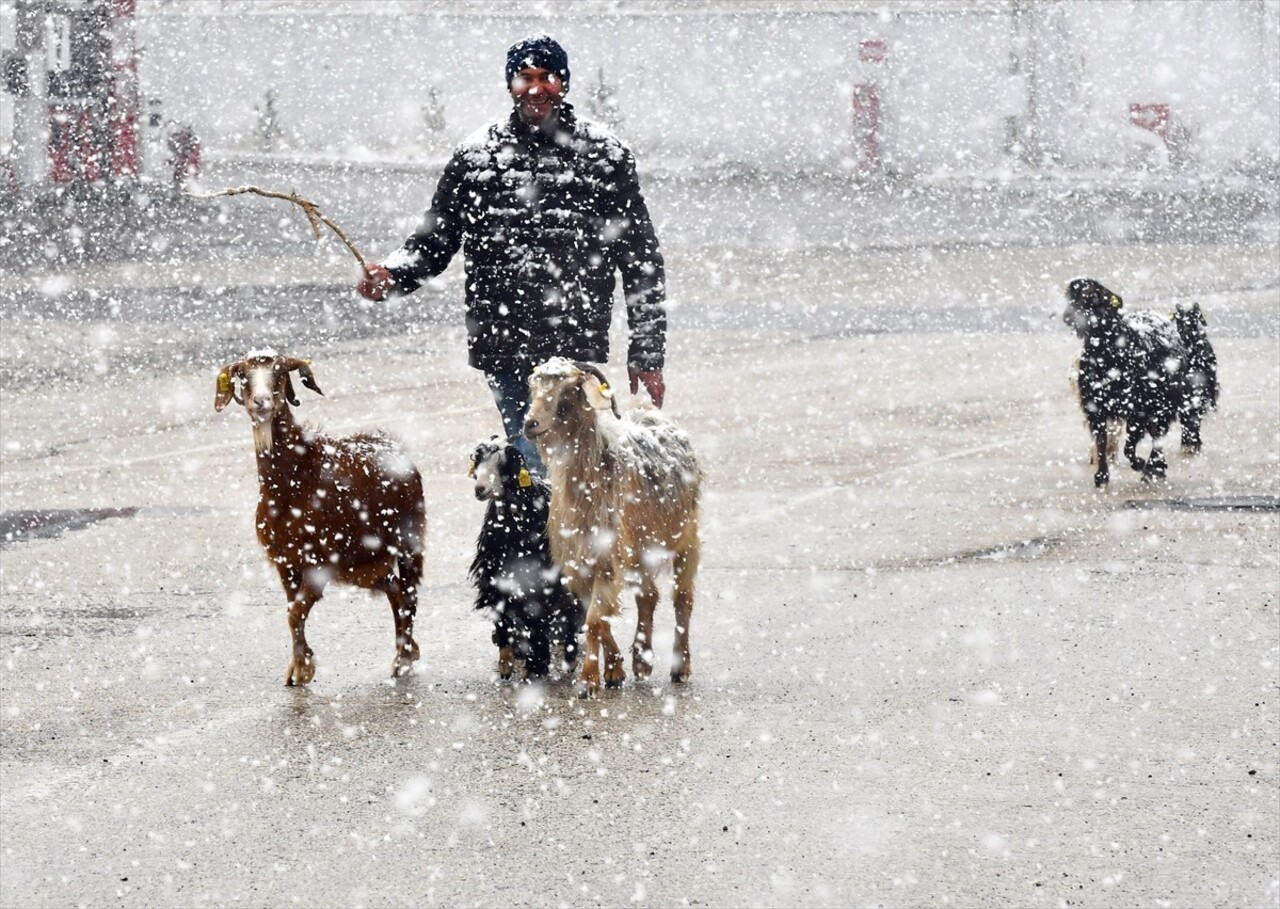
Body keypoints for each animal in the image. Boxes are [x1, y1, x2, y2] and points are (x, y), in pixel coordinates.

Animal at [212, 353, 427, 686]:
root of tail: (395, 448)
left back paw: (403, 659)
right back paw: (406, 651)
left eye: (279, 373)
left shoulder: (319, 561)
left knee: (409, 593)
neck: (296, 478)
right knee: (394, 590)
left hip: (408, 540)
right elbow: (293, 611)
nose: (261, 402)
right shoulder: (286, 561)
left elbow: (296, 612)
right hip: (364, 560)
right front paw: (298, 666)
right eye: (243, 376)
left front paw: (303, 668)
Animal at [471, 437, 586, 681]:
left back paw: (569, 657)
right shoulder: (496, 575)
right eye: (478, 463)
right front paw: (507, 662)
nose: (480, 489)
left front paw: (537, 665)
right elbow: (505, 612)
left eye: (502, 465)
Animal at [519, 358, 701, 696]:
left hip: (686, 536)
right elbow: (596, 617)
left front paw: (588, 681)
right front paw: (615, 670)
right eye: (533, 387)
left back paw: (680, 667)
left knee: (682, 599)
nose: (530, 424)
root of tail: (653, 414)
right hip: (640, 547)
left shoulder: (607, 556)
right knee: (648, 596)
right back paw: (642, 661)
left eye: (568, 391)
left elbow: (594, 619)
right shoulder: (581, 562)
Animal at [1059, 279, 1218, 489]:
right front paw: (1102, 477)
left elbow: (1129, 445)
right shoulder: (1095, 407)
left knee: (1160, 434)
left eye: (1090, 296)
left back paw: (1154, 468)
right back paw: (1158, 467)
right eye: (1069, 297)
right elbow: (1101, 441)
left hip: (1164, 402)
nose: (1068, 317)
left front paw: (1141, 464)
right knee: (1156, 432)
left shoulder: (1137, 408)